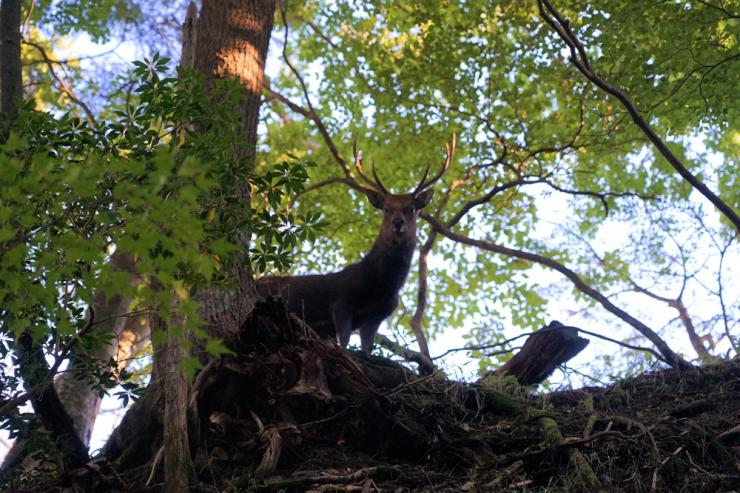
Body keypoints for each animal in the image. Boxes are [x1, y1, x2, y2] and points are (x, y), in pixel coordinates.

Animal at [258, 137, 454, 354]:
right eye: (387, 208)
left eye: (411, 208)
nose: (398, 222)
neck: (382, 285)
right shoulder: (342, 300)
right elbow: (343, 342)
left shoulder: (377, 316)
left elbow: (366, 349)